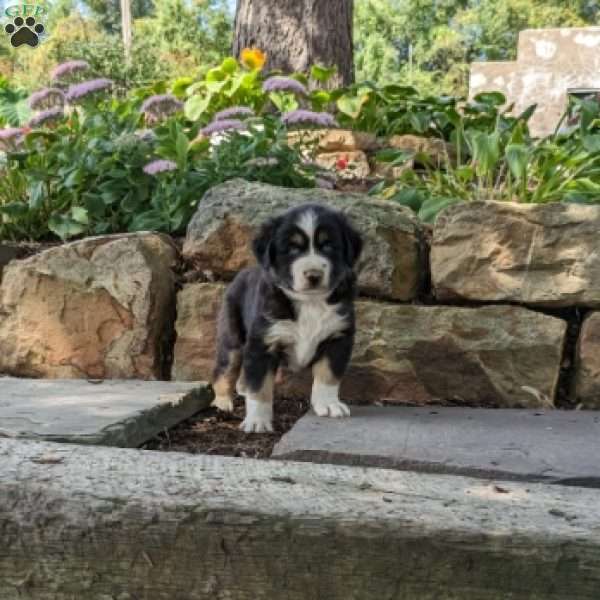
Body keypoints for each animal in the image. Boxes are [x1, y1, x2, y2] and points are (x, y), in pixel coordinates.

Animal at [211, 204, 360, 434]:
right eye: (292, 249)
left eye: (328, 246)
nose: (313, 274)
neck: (310, 302)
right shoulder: (263, 342)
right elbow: (259, 385)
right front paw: (257, 420)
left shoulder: (338, 337)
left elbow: (328, 375)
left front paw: (328, 404)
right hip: (232, 338)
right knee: (224, 371)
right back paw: (222, 403)